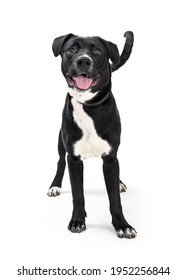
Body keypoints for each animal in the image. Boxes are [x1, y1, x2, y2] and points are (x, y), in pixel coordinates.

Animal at [46, 31, 137, 238]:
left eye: (97, 51)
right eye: (71, 49)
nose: (83, 61)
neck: (88, 105)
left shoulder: (111, 158)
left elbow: (114, 198)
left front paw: (122, 225)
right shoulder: (74, 159)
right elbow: (78, 195)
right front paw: (77, 221)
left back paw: (120, 183)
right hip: (60, 142)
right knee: (60, 162)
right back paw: (55, 185)